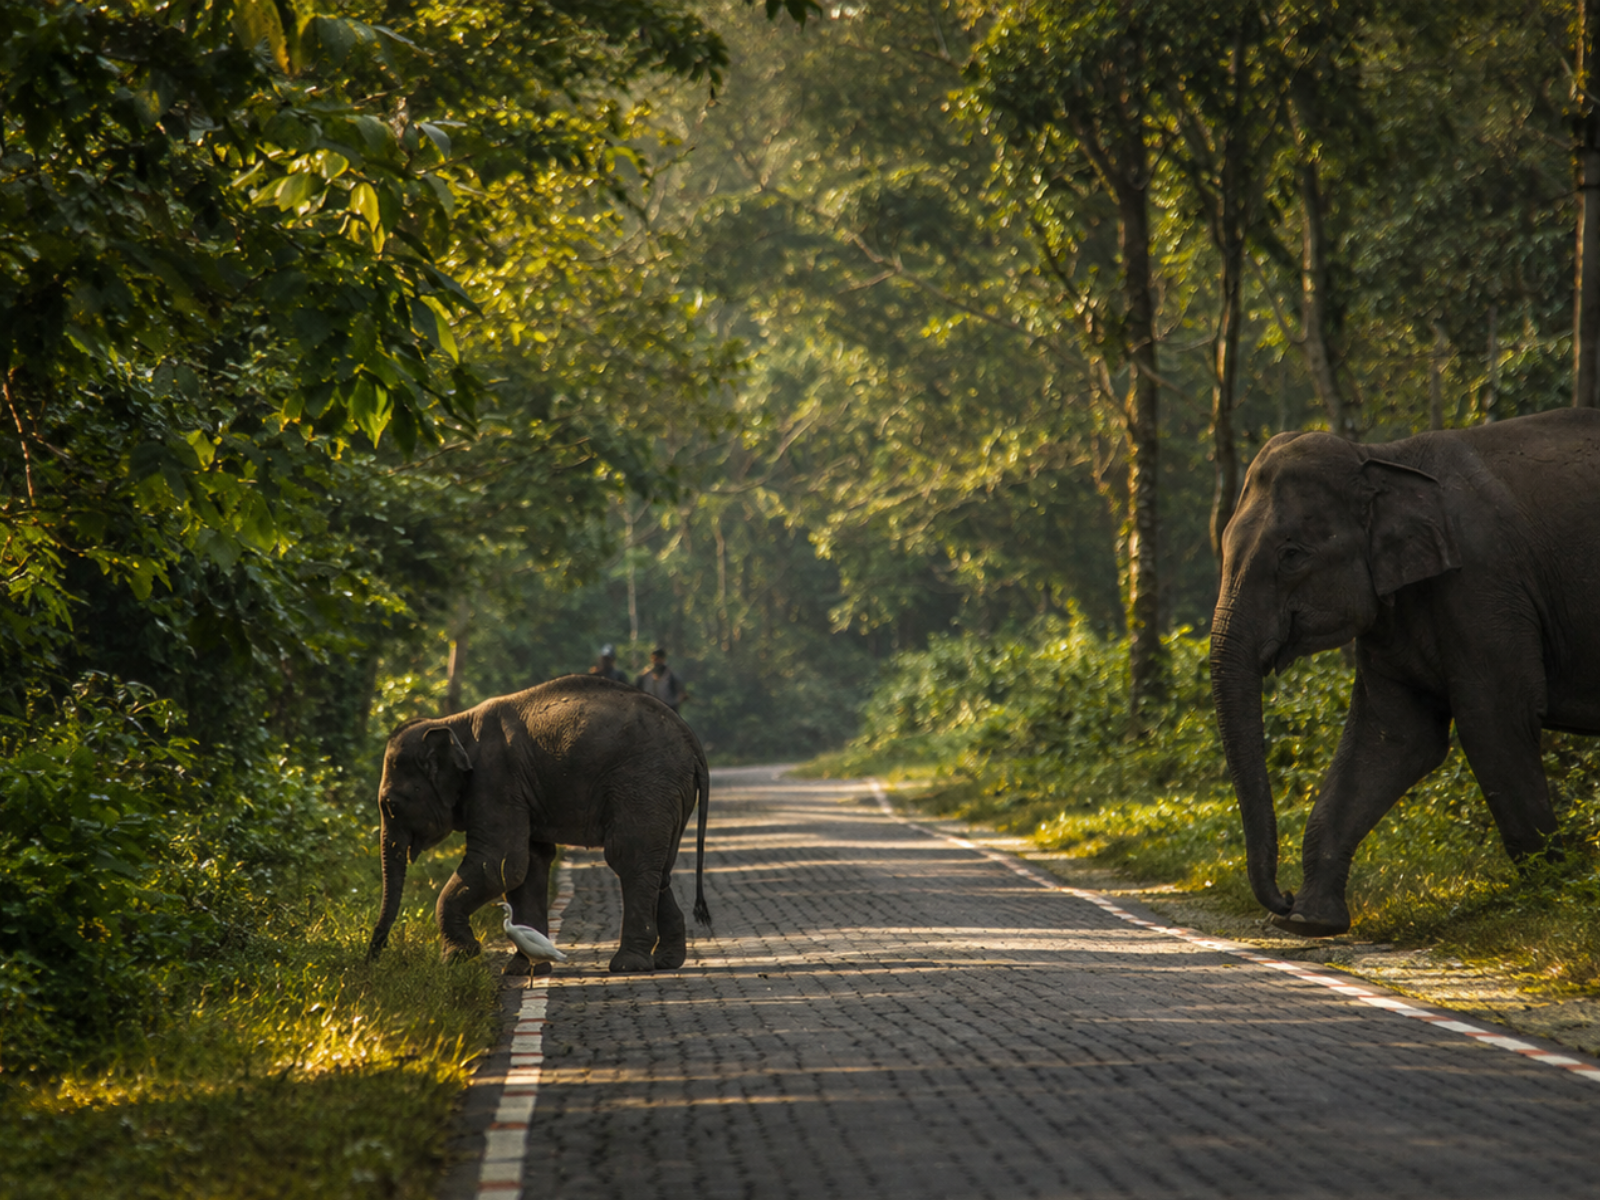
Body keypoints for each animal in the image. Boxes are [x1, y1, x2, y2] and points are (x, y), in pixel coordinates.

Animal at [366, 674, 711, 974]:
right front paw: (520, 969)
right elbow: (527, 865)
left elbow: (499, 863)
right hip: (668, 794)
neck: (453, 723)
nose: (373, 959)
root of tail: (693, 742)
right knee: (658, 868)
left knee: (629, 858)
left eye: (391, 805)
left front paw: (457, 959)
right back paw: (666, 961)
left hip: (645, 785)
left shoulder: (496, 780)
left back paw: (629, 966)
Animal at [1210, 408, 1600, 937]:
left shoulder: (1484, 585)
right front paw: (1311, 922)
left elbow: (1496, 721)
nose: (1283, 899)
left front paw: (1552, 897)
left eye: (1292, 555)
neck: (1382, 458)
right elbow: (1395, 737)